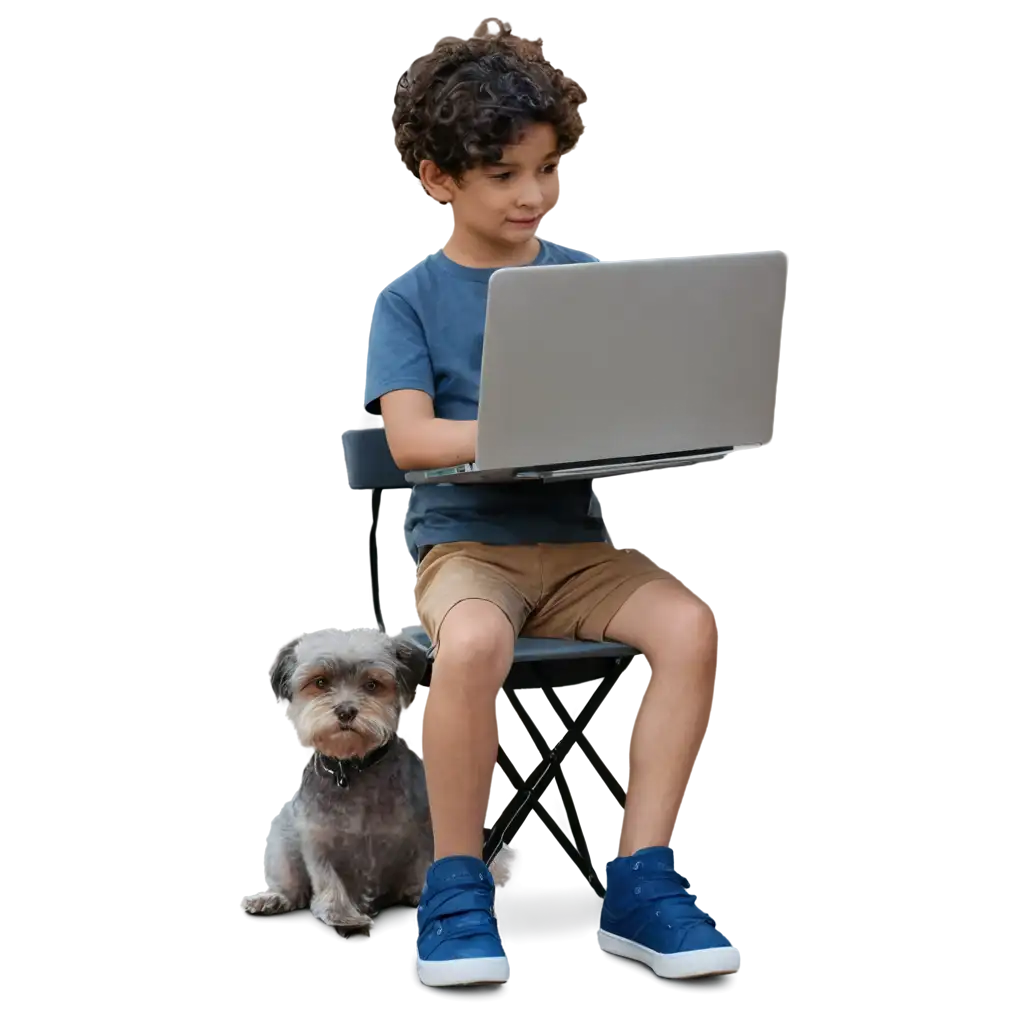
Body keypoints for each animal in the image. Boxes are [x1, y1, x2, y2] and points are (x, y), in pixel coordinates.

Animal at [236, 618, 436, 933]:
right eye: (320, 682)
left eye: (372, 684)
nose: (345, 711)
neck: (352, 768)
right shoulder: (316, 836)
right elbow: (326, 877)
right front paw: (341, 914)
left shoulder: (421, 830)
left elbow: (425, 865)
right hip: (280, 829)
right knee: (290, 881)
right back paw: (273, 897)